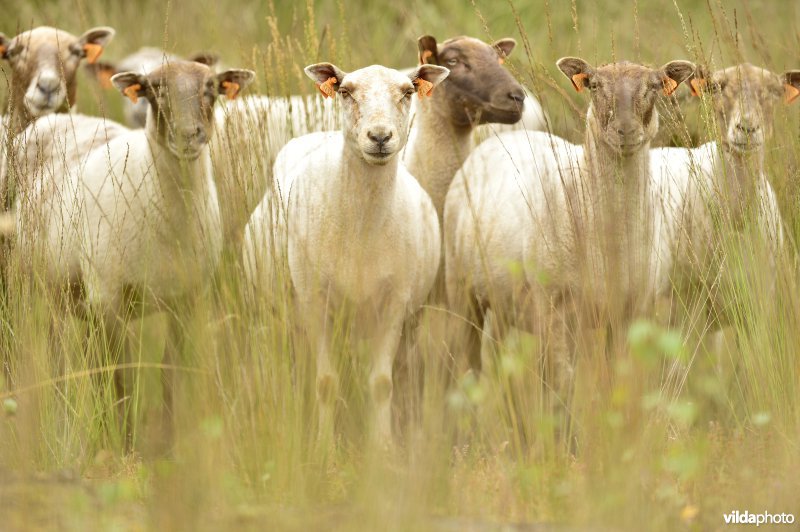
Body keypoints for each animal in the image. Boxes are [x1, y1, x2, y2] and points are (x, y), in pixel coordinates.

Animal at [15, 60, 255, 446]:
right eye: (155, 90)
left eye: (210, 88)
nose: (188, 135)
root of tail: (54, 120)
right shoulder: (110, 299)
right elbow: (122, 380)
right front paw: (125, 446)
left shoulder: (186, 300)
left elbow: (169, 375)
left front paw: (168, 446)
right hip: (37, 287)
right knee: (57, 359)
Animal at [244, 61, 446, 444]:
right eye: (345, 91)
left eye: (407, 92)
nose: (379, 137)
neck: (363, 227)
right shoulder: (314, 302)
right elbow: (325, 382)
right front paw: (323, 447)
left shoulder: (395, 304)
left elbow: (382, 384)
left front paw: (382, 446)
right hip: (279, 313)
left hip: (408, 320)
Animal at [444, 59, 692, 394]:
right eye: (594, 85)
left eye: (654, 86)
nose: (625, 130)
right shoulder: (554, 308)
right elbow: (564, 384)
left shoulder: (630, 312)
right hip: (461, 290)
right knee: (467, 360)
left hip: (504, 301)